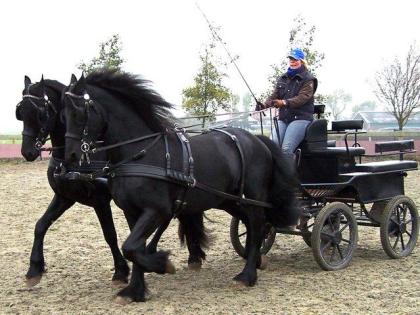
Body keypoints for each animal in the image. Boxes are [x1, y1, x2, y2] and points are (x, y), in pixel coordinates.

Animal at [15, 76, 130, 286]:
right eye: (20, 111)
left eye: (41, 113)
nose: (27, 152)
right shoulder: (64, 196)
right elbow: (40, 225)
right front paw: (35, 267)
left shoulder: (100, 201)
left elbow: (110, 234)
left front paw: (121, 270)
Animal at [64, 69, 296, 304]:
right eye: (64, 113)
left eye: (78, 111)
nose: (70, 156)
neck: (142, 154)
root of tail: (257, 139)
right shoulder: (132, 211)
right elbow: (134, 247)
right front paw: (135, 290)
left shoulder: (156, 210)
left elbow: (131, 247)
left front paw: (162, 264)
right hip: (227, 199)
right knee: (251, 223)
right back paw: (256, 259)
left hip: (253, 196)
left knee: (257, 226)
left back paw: (247, 275)